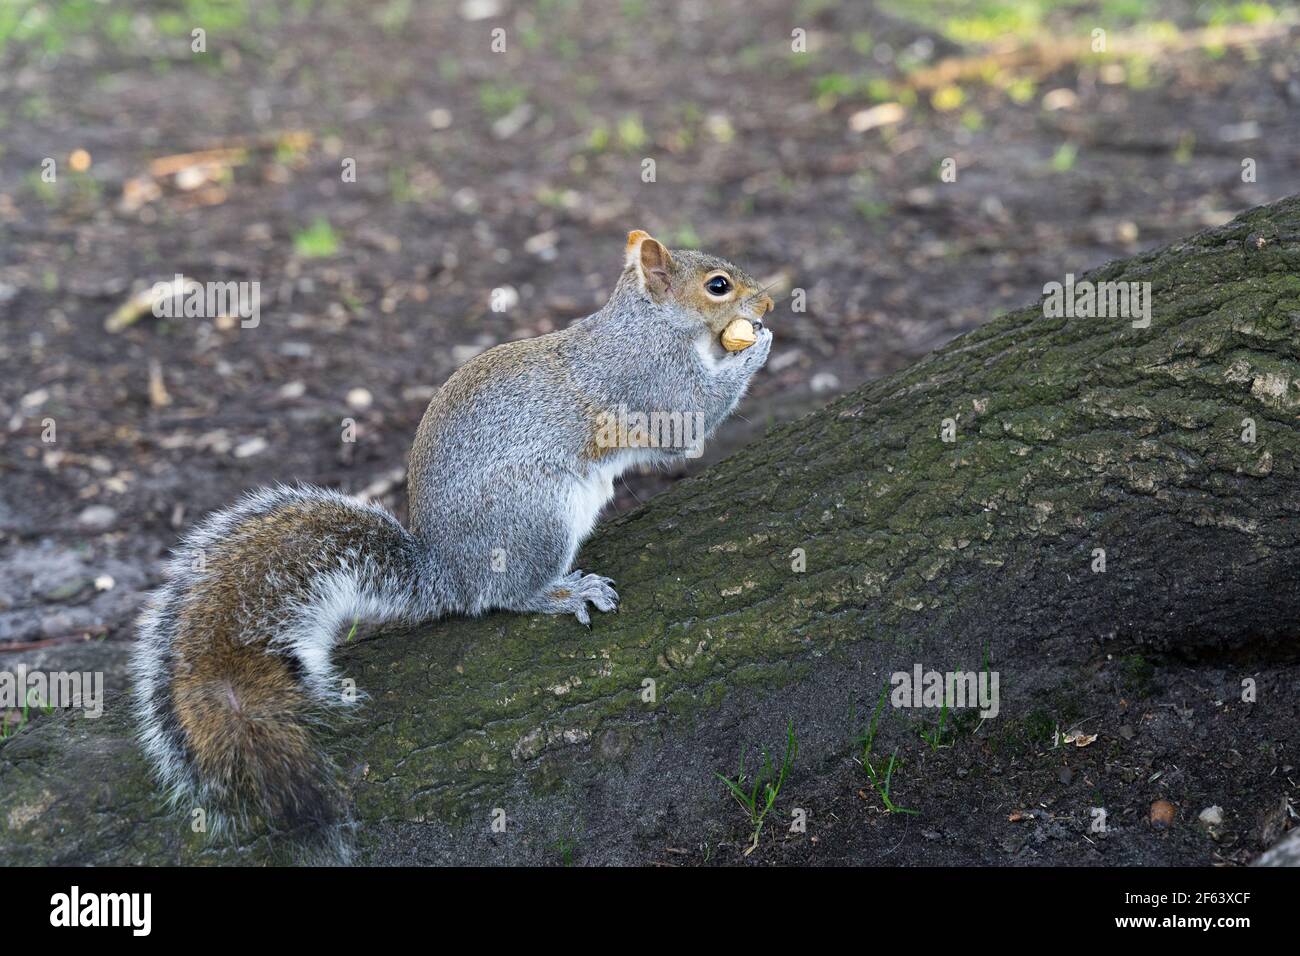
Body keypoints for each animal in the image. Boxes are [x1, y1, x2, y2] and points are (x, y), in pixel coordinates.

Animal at [131, 229, 774, 843]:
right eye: (718, 286)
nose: (767, 302)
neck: (648, 323)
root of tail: (447, 571)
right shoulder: (648, 382)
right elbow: (692, 418)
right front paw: (759, 345)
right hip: (537, 514)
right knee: (505, 595)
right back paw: (563, 592)